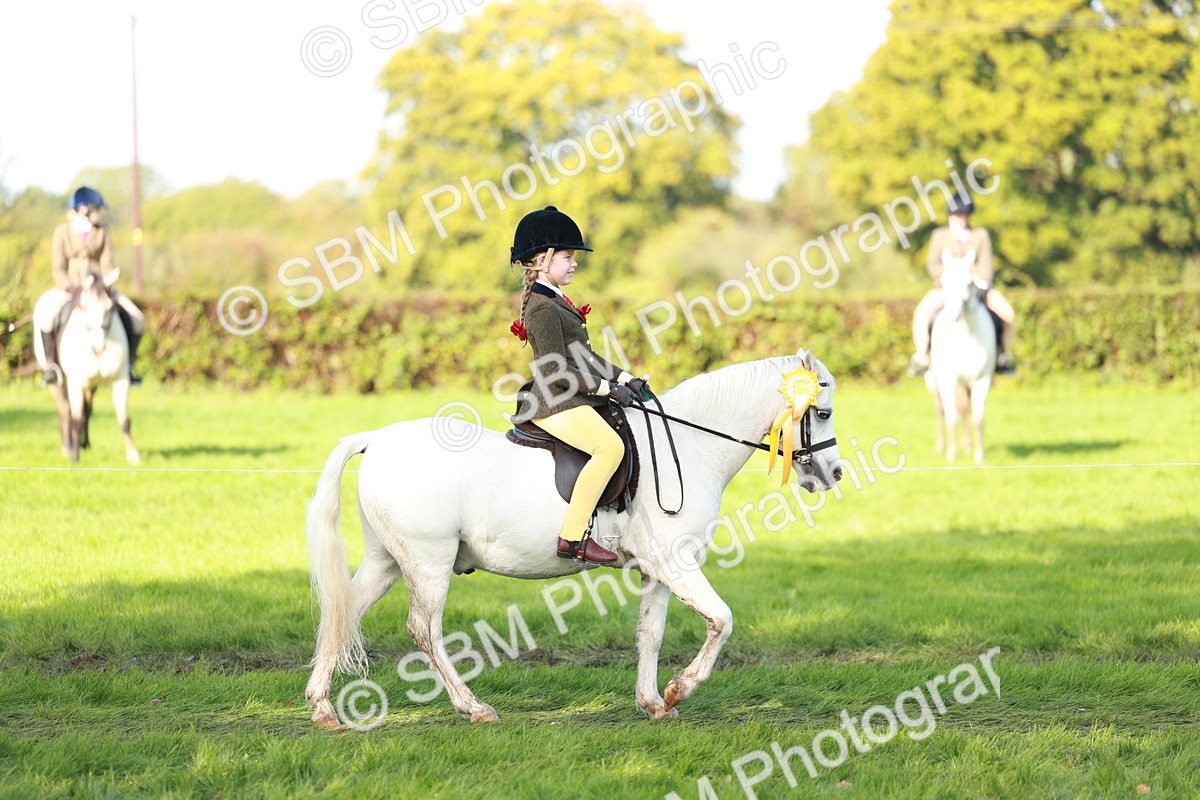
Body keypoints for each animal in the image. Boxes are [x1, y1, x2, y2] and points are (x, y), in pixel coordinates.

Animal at [48, 269, 140, 464]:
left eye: (110, 308)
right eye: (83, 307)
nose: (99, 347)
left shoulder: (120, 380)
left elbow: (124, 420)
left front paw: (133, 455)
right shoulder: (75, 383)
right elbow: (75, 417)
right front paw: (74, 456)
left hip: (92, 385)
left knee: (87, 410)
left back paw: (85, 444)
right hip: (58, 382)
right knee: (65, 410)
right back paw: (67, 447)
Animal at [305, 349, 842, 725]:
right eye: (824, 412)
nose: (833, 474)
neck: (690, 446)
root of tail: (377, 438)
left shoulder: (657, 570)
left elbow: (650, 633)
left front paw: (652, 702)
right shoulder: (675, 561)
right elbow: (722, 620)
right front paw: (679, 689)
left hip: (387, 560)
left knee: (344, 609)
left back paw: (322, 708)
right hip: (427, 561)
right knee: (424, 629)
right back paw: (473, 708)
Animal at [924, 252, 996, 463]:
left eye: (969, 283)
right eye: (943, 281)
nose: (953, 315)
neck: (966, 335)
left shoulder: (982, 379)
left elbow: (978, 418)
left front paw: (979, 456)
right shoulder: (948, 380)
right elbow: (951, 416)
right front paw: (951, 455)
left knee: (964, 408)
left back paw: (968, 445)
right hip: (933, 379)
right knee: (940, 409)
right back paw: (942, 446)